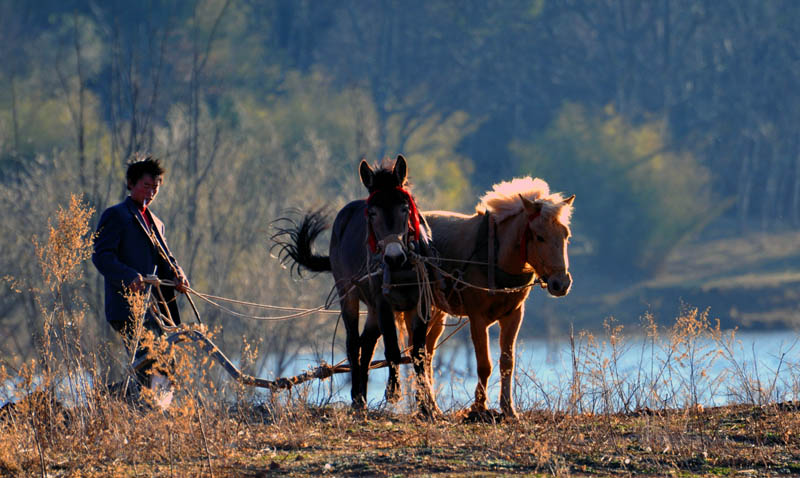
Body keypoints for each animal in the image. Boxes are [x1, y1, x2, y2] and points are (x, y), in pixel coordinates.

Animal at [276, 156, 438, 410]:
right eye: (372, 213)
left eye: (404, 208)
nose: (393, 256)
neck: (402, 267)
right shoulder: (383, 303)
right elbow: (392, 348)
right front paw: (393, 392)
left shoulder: (421, 305)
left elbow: (419, 354)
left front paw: (425, 405)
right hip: (348, 295)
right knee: (353, 343)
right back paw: (357, 396)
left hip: (371, 308)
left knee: (367, 343)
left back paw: (361, 394)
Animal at [412, 176, 576, 418]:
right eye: (539, 237)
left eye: (566, 235)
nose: (561, 283)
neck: (494, 258)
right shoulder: (477, 318)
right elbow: (484, 364)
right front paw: (479, 407)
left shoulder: (513, 315)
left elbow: (507, 361)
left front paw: (508, 408)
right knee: (417, 353)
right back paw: (425, 405)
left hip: (436, 313)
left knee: (428, 353)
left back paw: (430, 404)